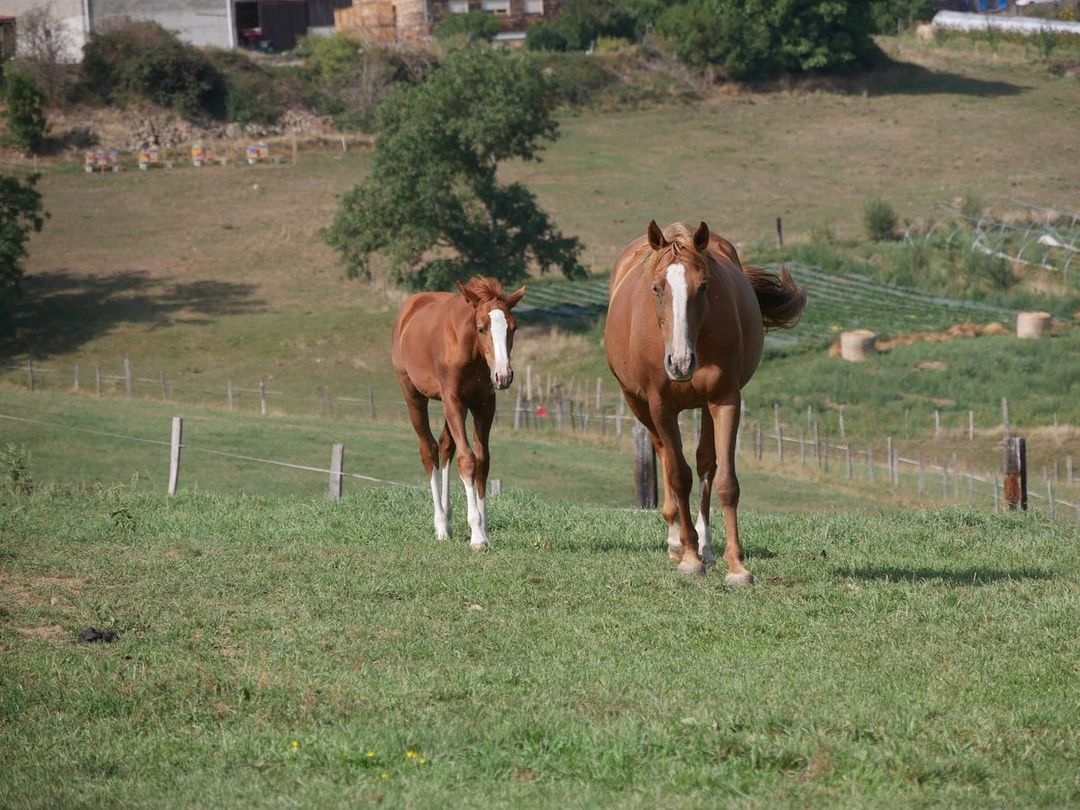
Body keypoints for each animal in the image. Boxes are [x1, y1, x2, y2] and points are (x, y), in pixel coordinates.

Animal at [393, 276, 527, 548]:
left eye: (513, 328)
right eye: (481, 328)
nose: (503, 376)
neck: (472, 354)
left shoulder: (483, 404)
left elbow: (483, 461)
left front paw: (485, 532)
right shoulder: (453, 400)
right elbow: (467, 459)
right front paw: (476, 535)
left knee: (445, 445)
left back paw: (448, 517)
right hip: (414, 395)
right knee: (429, 449)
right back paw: (441, 525)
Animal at [604, 222, 807, 587]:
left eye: (703, 286)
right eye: (656, 287)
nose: (681, 362)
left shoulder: (725, 398)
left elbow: (725, 480)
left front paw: (736, 566)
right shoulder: (660, 406)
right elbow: (678, 476)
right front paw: (688, 557)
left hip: (704, 407)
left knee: (705, 462)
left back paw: (705, 545)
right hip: (638, 404)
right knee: (664, 455)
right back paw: (677, 539)